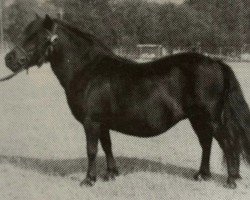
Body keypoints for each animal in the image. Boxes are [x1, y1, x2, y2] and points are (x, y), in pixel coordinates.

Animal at [3, 14, 250, 188]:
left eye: (36, 36)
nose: (9, 59)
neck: (88, 70)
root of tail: (217, 62)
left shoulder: (91, 122)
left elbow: (91, 149)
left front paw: (88, 180)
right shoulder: (102, 123)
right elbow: (107, 146)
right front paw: (111, 174)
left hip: (211, 119)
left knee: (227, 143)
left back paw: (230, 181)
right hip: (197, 118)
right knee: (206, 143)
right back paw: (201, 175)